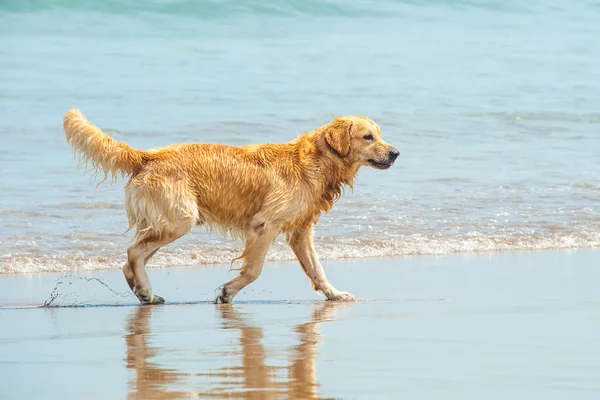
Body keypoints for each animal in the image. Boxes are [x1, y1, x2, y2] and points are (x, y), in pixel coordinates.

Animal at [63, 108, 398, 304]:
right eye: (368, 136)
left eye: (380, 134)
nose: (395, 153)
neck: (315, 163)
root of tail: (147, 156)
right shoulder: (265, 224)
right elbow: (255, 269)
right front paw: (228, 291)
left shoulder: (300, 230)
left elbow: (317, 269)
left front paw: (334, 294)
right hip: (179, 219)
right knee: (133, 252)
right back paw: (145, 291)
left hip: (166, 220)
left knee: (131, 259)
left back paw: (143, 293)